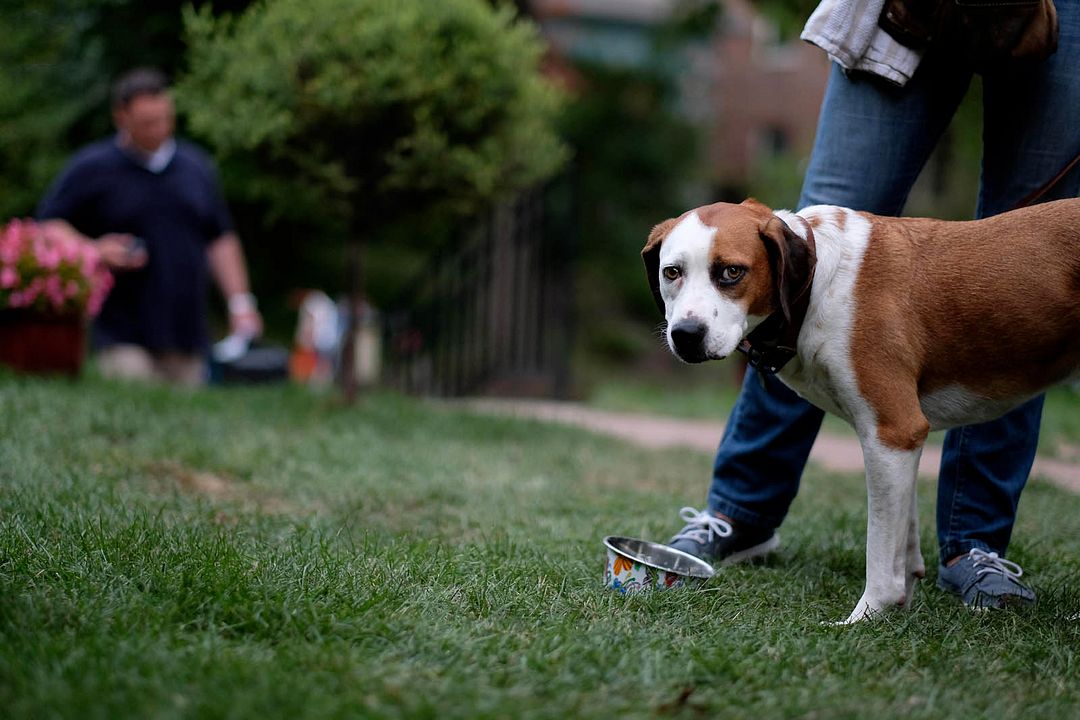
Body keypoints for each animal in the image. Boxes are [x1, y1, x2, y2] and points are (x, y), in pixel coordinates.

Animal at [639, 198, 1080, 626]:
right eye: (672, 272)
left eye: (731, 272)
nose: (686, 335)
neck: (819, 286)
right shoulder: (901, 440)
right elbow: (904, 540)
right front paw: (900, 604)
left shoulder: (892, 432)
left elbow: (881, 552)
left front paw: (866, 617)